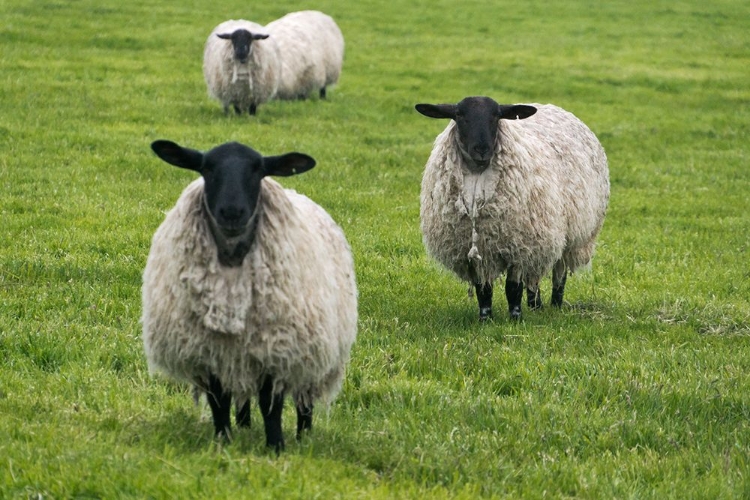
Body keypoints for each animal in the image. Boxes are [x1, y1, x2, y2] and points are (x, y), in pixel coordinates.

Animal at [418, 96, 612, 322]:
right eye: (459, 115)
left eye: (496, 116)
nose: (482, 150)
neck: (478, 174)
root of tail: (549, 105)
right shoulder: (477, 249)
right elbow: (483, 288)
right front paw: (485, 319)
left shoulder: (519, 245)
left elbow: (513, 288)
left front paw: (515, 318)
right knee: (534, 278)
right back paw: (535, 305)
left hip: (570, 236)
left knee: (559, 273)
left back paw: (554, 304)